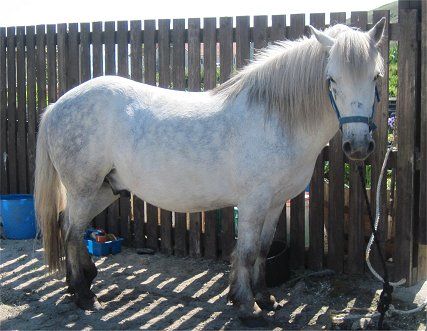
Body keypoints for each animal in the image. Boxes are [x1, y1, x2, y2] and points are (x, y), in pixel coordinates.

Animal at [35, 20, 386, 326]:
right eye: (332, 80)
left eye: (376, 78)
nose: (358, 146)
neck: (275, 118)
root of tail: (55, 106)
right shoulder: (253, 203)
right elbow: (246, 253)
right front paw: (246, 307)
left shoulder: (275, 203)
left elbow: (262, 250)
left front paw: (265, 299)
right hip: (84, 188)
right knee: (71, 231)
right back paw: (84, 296)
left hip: (104, 189)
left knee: (71, 227)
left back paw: (81, 284)